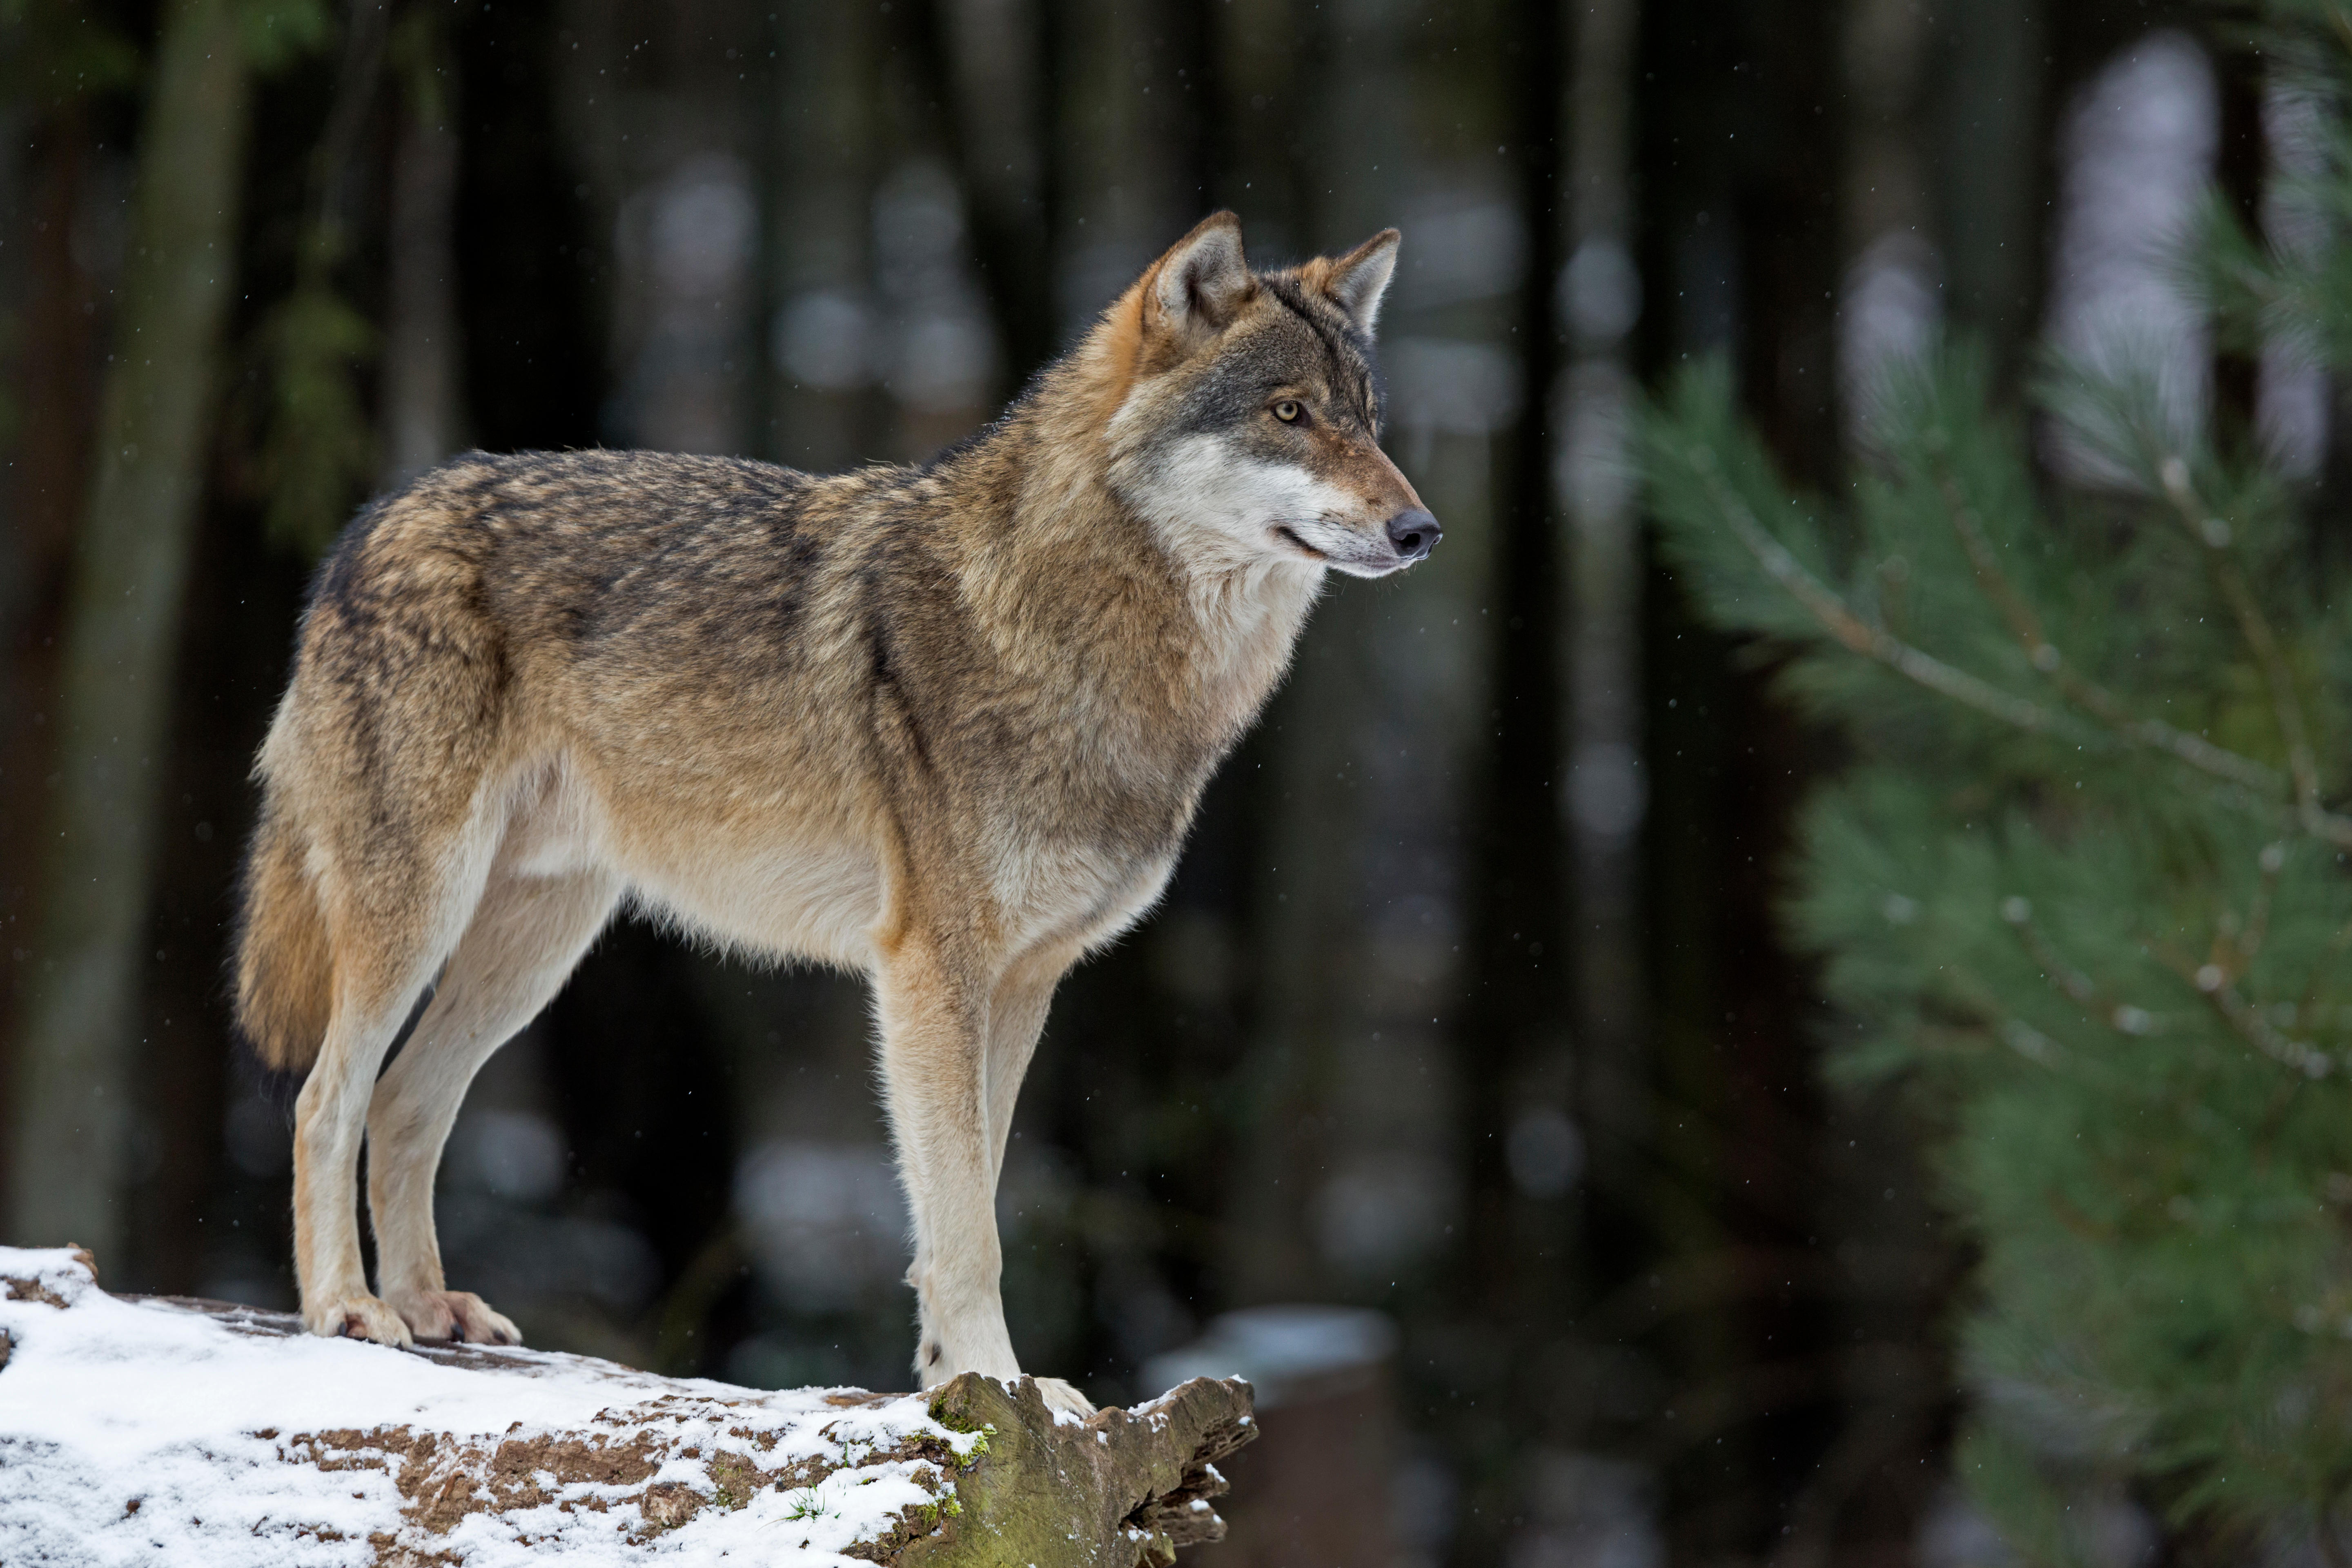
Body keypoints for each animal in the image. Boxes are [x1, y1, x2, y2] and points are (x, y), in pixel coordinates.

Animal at [234, 212, 1430, 1410]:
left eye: (1368, 420)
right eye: (1289, 414)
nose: (1420, 529)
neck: (1083, 634)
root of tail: (369, 524)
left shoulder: (1024, 983)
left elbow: (973, 1196)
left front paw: (970, 1386)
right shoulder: (930, 970)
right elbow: (968, 1225)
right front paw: (994, 1380)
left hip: (536, 949)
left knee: (404, 1103)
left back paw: (431, 1304)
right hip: (420, 916)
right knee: (324, 1100)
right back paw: (348, 1306)